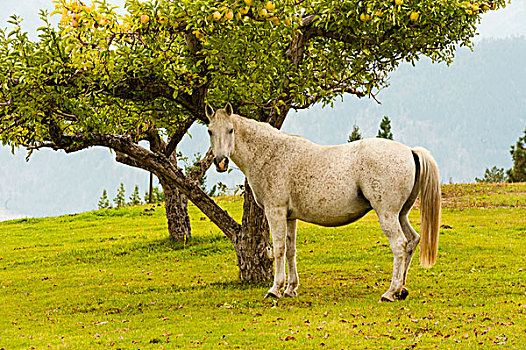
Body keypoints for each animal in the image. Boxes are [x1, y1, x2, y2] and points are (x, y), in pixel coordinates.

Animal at [205, 103, 442, 300]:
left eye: (230, 130)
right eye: (210, 131)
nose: (220, 162)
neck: (270, 154)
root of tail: (410, 151)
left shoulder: (275, 212)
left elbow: (279, 248)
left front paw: (275, 289)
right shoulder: (290, 217)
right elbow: (290, 250)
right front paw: (291, 288)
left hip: (388, 215)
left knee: (400, 245)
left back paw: (390, 292)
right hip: (401, 214)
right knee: (412, 241)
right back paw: (401, 290)